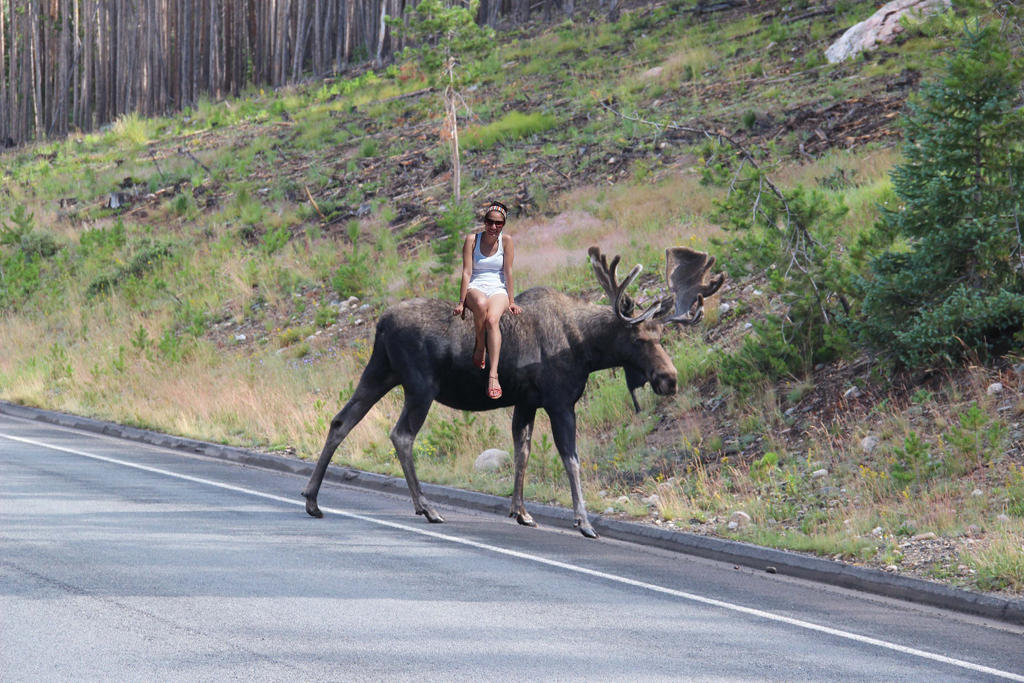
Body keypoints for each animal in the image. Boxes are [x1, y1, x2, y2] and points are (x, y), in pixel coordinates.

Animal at [302, 245, 725, 538]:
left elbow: (522, 451)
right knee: (401, 435)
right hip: (420, 386)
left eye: (662, 334)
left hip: (380, 372)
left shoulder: (526, 402)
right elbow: (571, 459)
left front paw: (521, 512)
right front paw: (583, 521)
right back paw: (426, 507)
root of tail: (381, 323)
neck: (587, 349)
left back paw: (312, 500)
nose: (669, 378)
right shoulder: (560, 402)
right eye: (638, 338)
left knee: (341, 421)